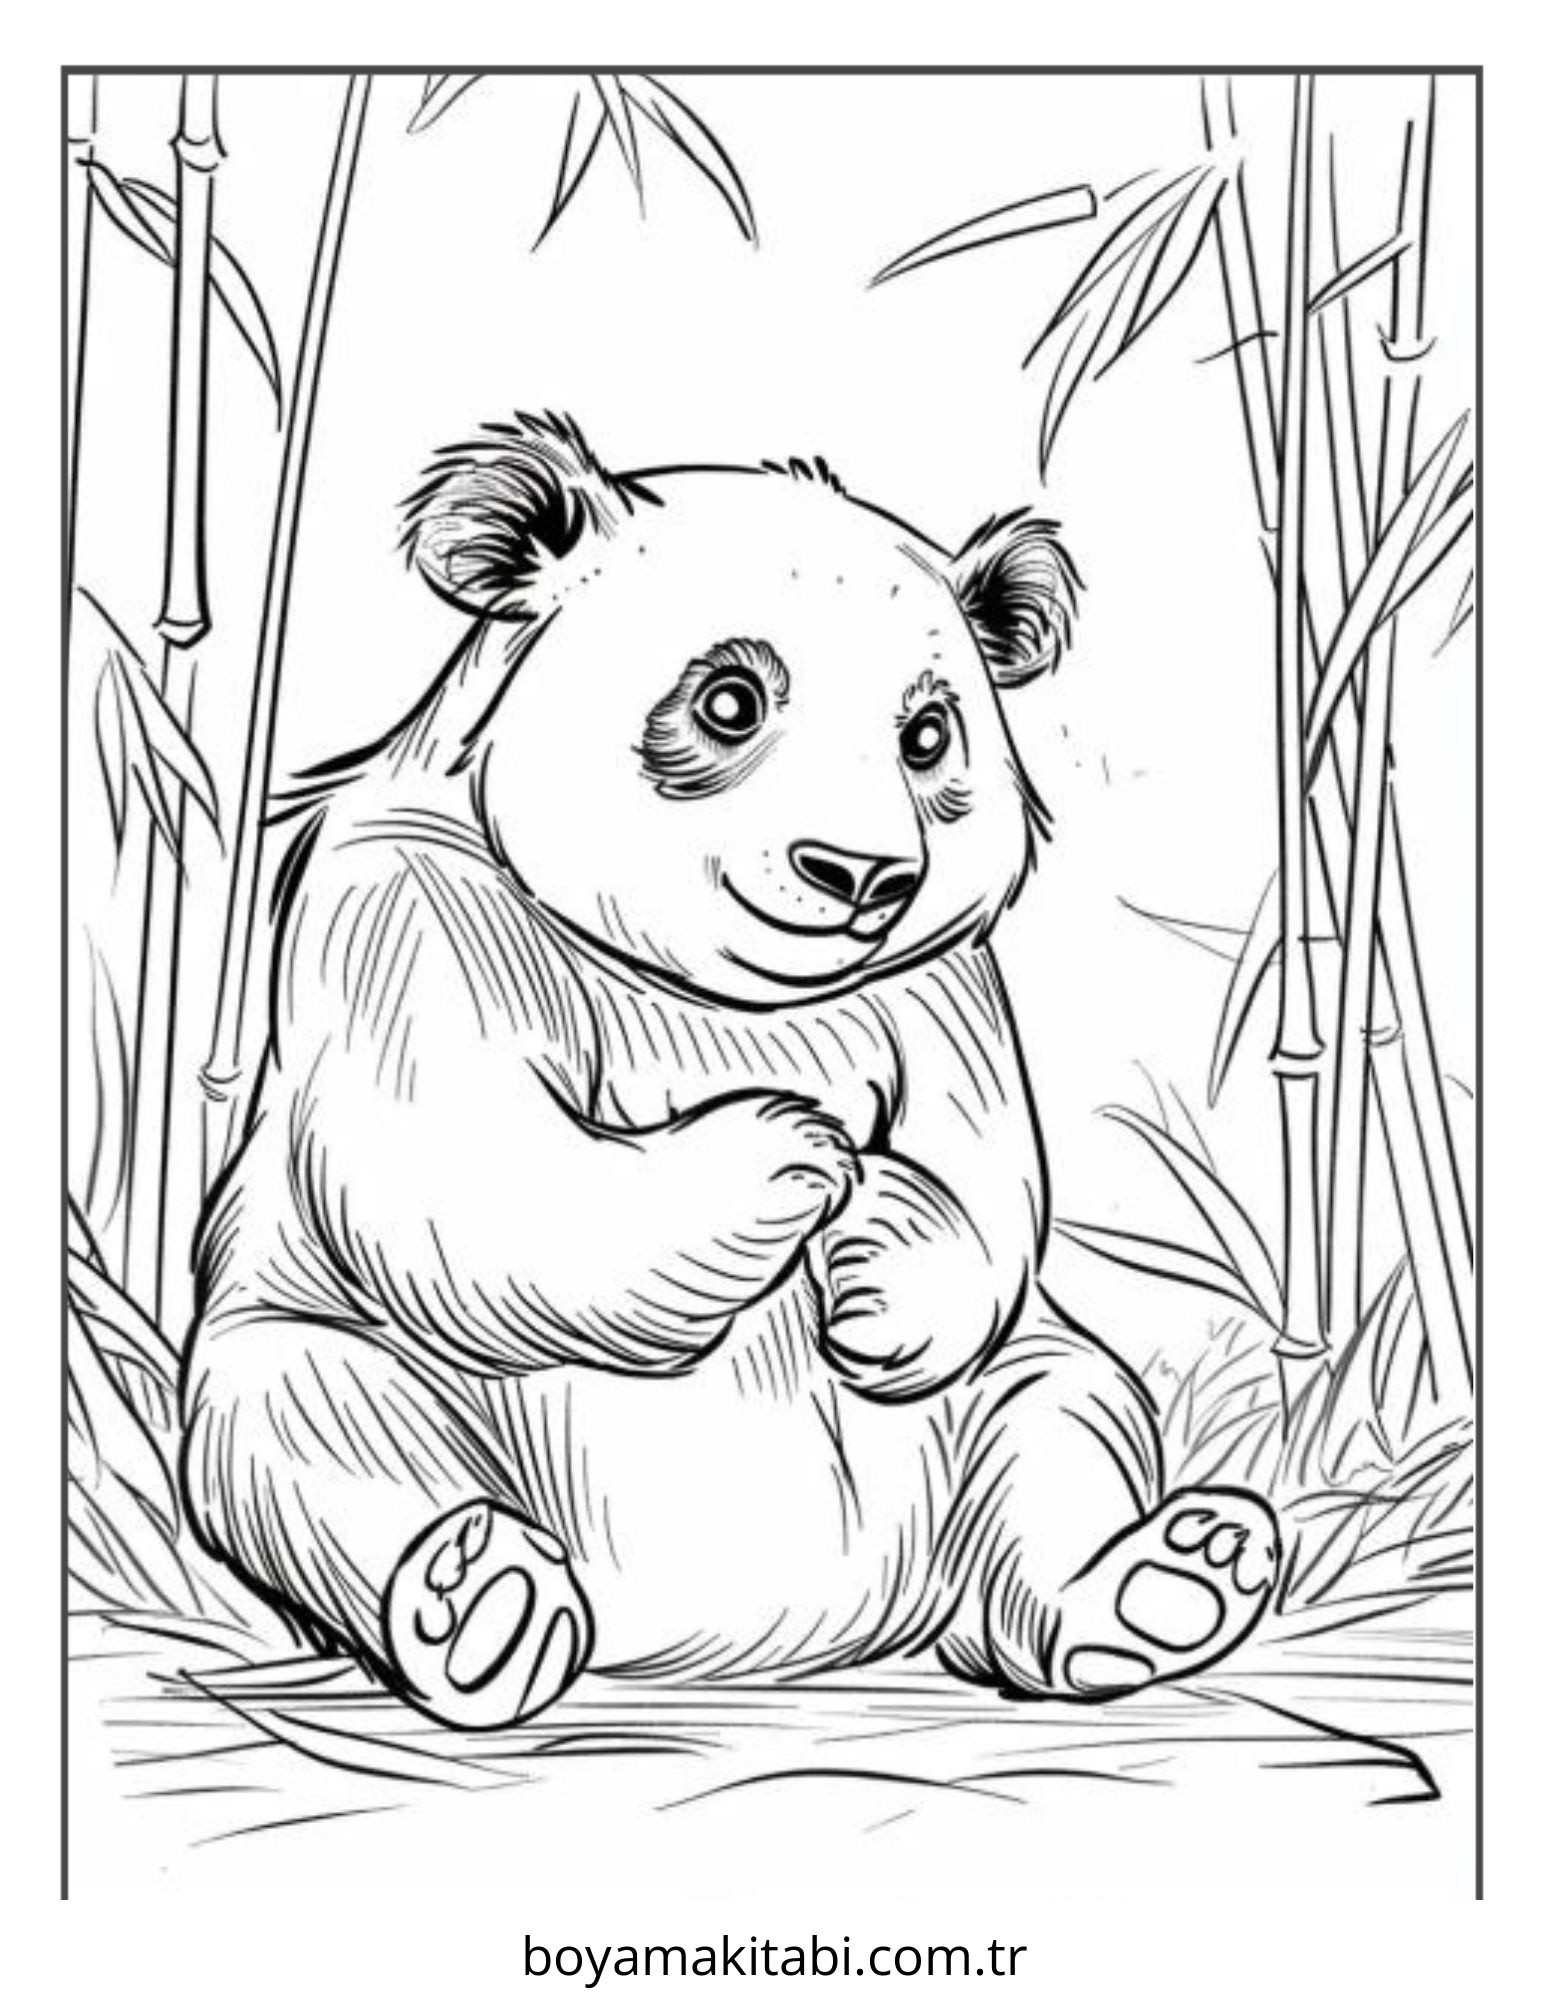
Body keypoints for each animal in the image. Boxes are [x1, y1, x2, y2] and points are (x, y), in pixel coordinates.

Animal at [182, 413, 1278, 1728]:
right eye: (728, 698)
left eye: (928, 736)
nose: (856, 873)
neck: (723, 998)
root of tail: (741, 1638)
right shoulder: (410, 906)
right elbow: (462, 1172)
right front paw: (795, 1154)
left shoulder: (938, 983)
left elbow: (987, 1174)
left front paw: (874, 1246)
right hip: (329, 1352)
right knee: (312, 1435)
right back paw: (483, 1608)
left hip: (994, 1410)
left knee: (1060, 1418)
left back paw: (1161, 1585)